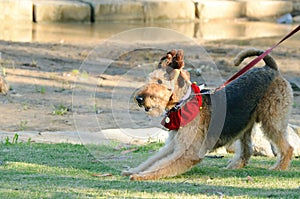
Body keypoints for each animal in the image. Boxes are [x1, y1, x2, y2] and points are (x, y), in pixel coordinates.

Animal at [122, 48, 292, 180]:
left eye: (159, 82)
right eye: (149, 79)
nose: (139, 99)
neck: (183, 102)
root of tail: (271, 68)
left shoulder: (188, 151)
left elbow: (161, 166)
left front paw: (142, 176)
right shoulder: (173, 145)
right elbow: (153, 161)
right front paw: (133, 171)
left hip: (272, 121)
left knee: (287, 147)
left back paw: (279, 167)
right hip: (245, 124)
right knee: (247, 150)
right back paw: (234, 165)